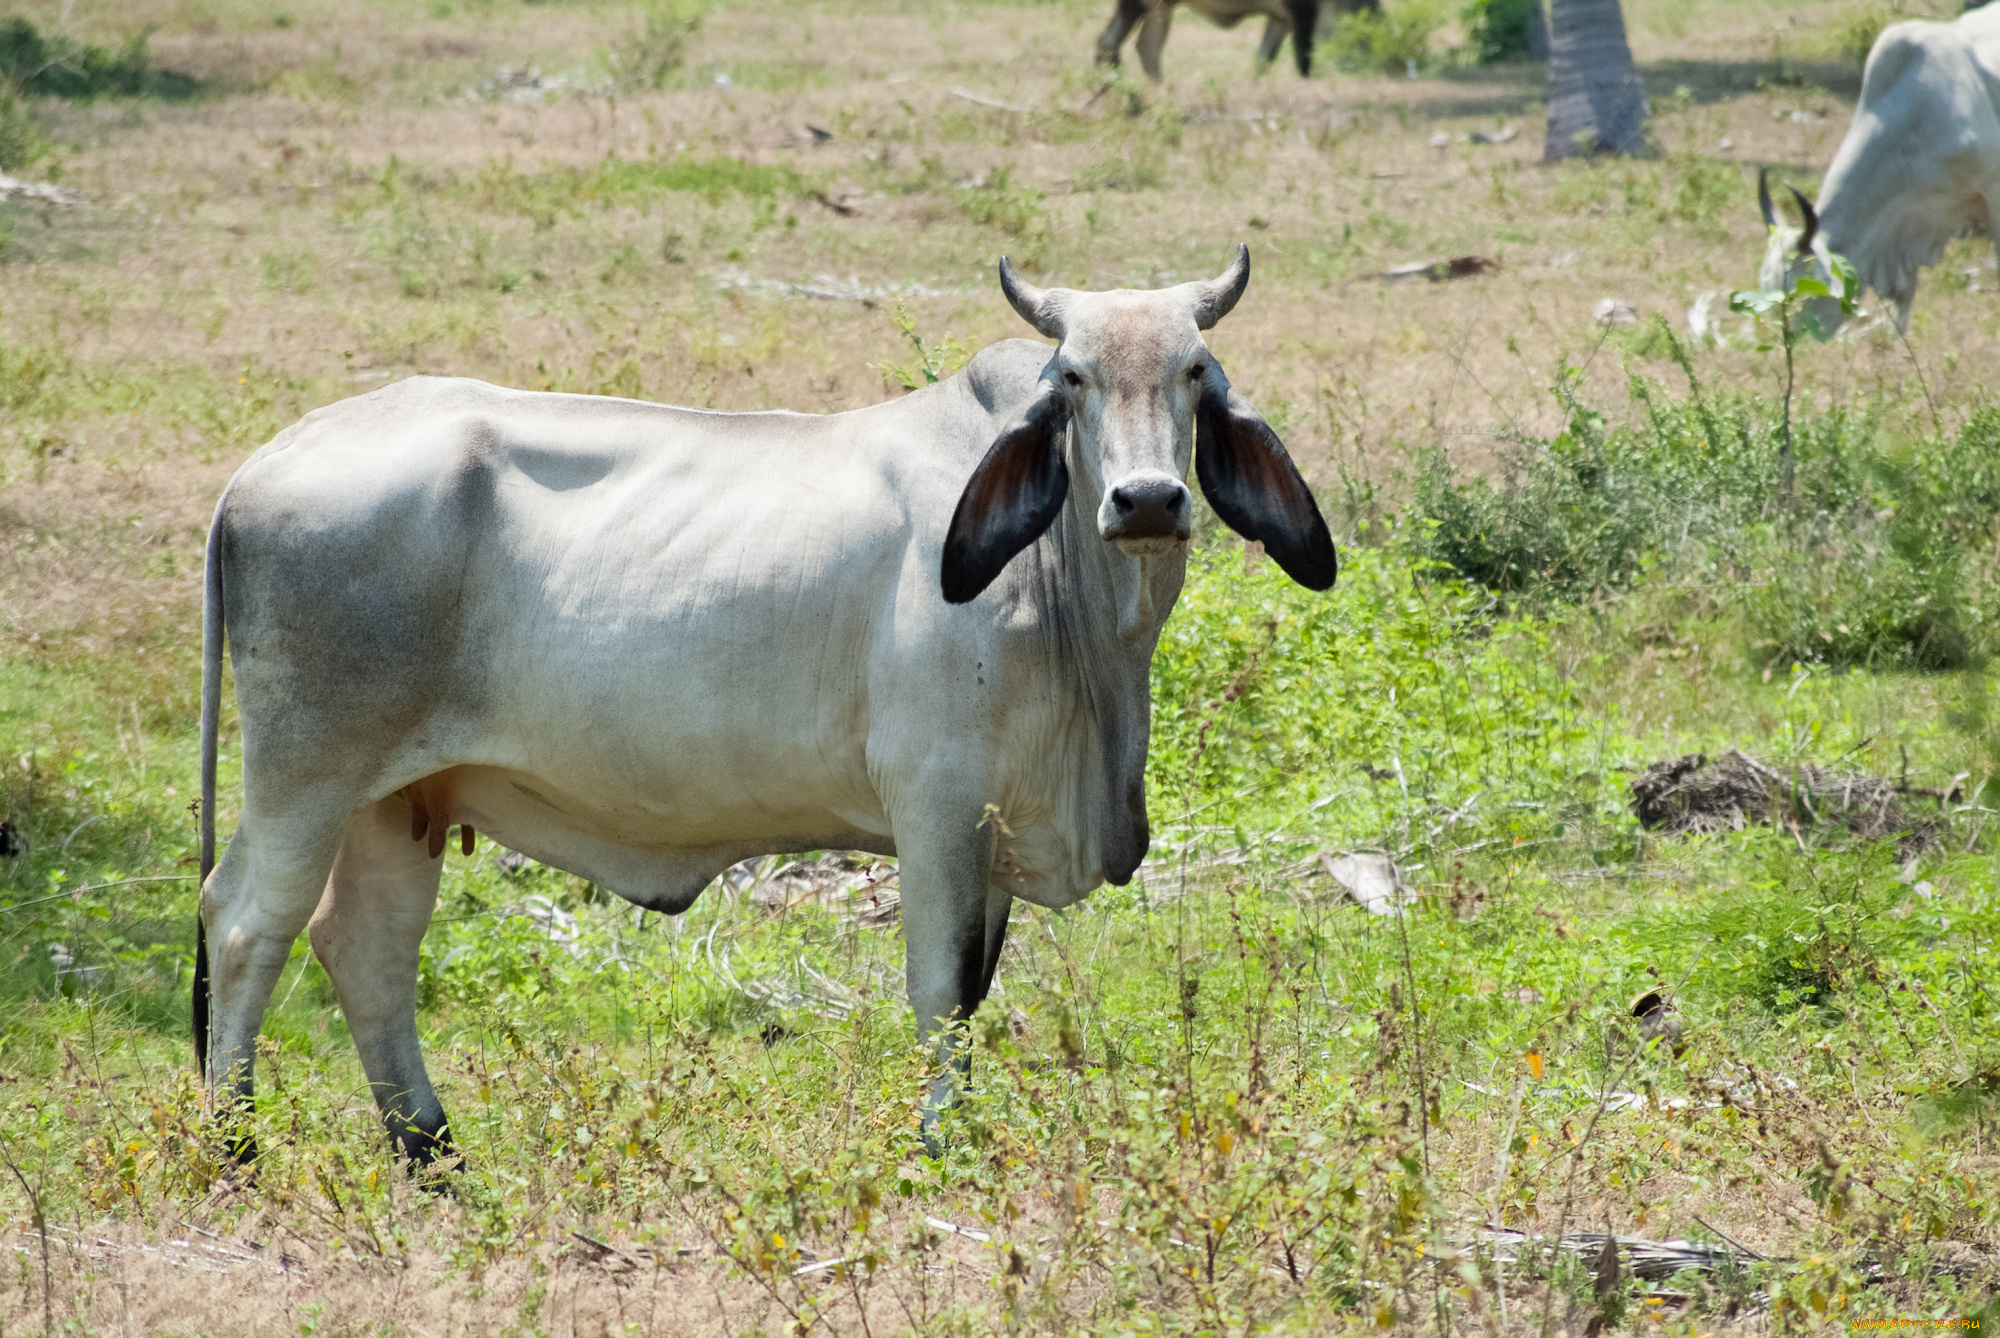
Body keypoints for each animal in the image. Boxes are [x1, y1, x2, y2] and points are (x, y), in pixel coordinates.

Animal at [195, 245, 1336, 1160]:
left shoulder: (996, 822)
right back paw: (233, 1146)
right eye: (1073, 377)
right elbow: (939, 992)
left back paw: (432, 1152)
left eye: (1194, 372)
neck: (1079, 613)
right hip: (306, 772)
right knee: (247, 921)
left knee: (367, 947)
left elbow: (975, 994)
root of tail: (263, 464)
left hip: (401, 798)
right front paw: (936, 1150)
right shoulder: (936, 802)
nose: (1145, 501)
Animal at [1096, 0, 1376, 81]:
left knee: (1127, 44)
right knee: (1124, 43)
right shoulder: (1301, 15)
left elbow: (1264, 57)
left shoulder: (1281, 19)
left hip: (1159, 9)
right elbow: (1304, 58)